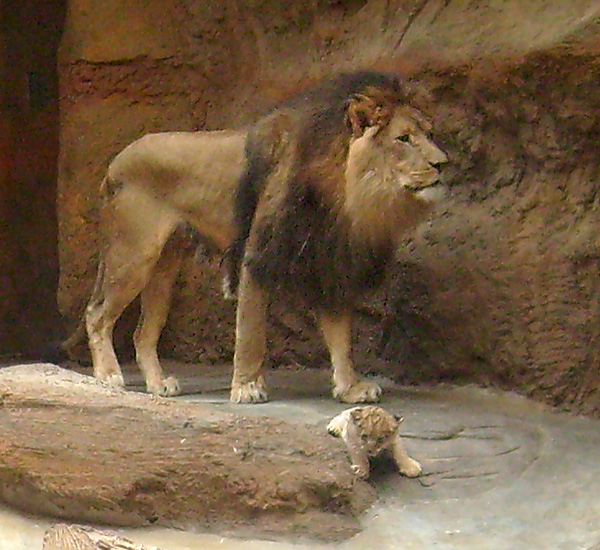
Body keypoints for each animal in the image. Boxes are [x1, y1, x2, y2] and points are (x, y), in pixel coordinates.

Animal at [68, 70, 448, 406]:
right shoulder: (257, 251)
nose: (443, 163)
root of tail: (114, 163)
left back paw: (159, 383)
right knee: (97, 313)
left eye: (430, 134)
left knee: (143, 332)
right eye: (403, 139)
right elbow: (251, 330)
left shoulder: (325, 259)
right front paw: (247, 388)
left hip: (164, 266)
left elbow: (341, 333)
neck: (345, 186)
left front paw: (350, 387)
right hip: (134, 254)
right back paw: (108, 375)